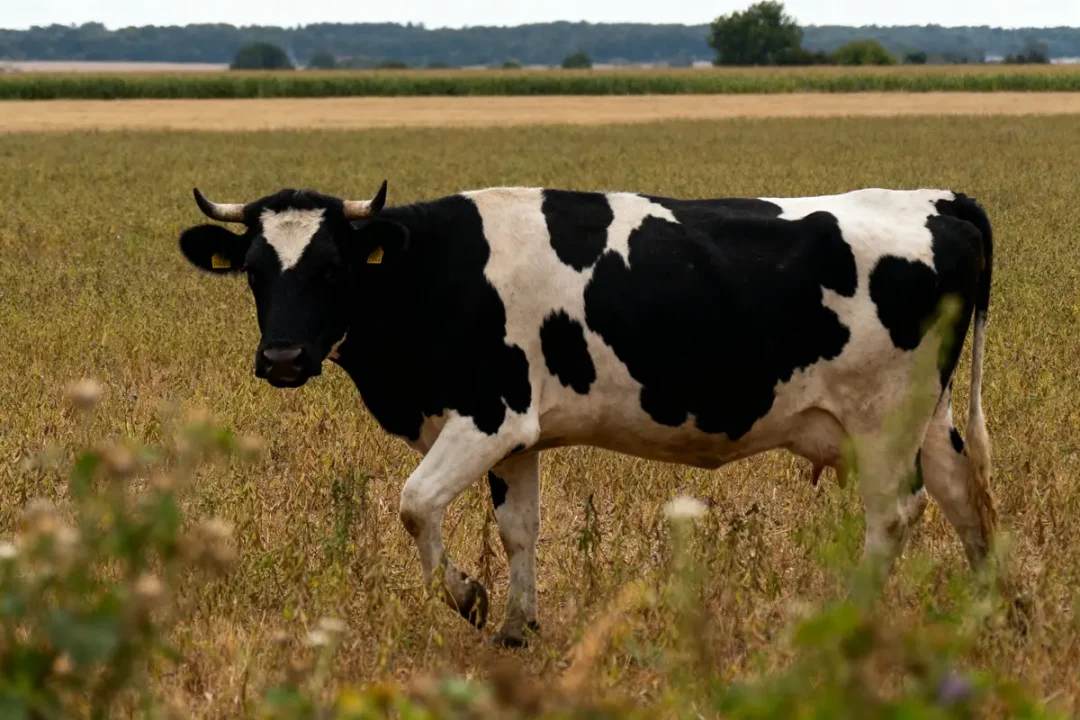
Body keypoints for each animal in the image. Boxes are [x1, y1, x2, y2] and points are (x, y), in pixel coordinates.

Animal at [177, 181, 996, 648]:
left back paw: (852, 621)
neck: (436, 272)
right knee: (966, 501)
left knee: (894, 514)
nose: (283, 357)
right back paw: (994, 613)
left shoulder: (490, 415)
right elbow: (518, 528)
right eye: (254, 271)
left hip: (882, 418)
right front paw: (517, 629)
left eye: (332, 268)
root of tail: (941, 199)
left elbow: (414, 504)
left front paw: (470, 600)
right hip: (930, 418)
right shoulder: (517, 439)